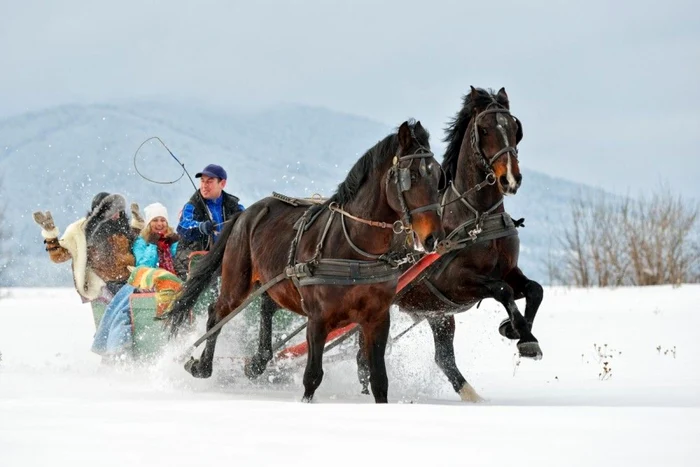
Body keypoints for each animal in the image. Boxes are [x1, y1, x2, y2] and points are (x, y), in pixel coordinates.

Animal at [167, 119, 446, 402]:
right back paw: (202, 366)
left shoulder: (377, 318)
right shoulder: (318, 318)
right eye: (411, 176)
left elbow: (379, 379)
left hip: (275, 282)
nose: (434, 238)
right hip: (237, 280)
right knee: (217, 313)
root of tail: (246, 214)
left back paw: (257, 361)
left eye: (438, 176)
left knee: (266, 307)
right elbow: (312, 376)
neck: (355, 250)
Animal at [388, 87, 548, 402]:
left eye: (514, 128)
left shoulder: (508, 270)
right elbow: (503, 290)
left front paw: (516, 331)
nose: (510, 179)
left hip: (436, 314)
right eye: (484, 129)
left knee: (442, 358)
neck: (476, 216)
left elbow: (535, 290)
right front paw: (522, 335)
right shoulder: (457, 283)